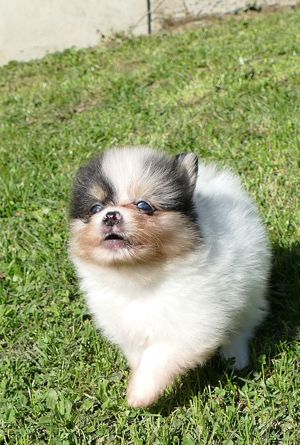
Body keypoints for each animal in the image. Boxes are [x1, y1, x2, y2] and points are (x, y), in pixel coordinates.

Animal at [69, 146, 270, 406]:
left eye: (144, 205)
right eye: (95, 208)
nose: (111, 215)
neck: (138, 275)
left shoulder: (193, 325)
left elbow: (159, 357)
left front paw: (138, 394)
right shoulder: (126, 328)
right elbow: (140, 355)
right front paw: (137, 376)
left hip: (250, 289)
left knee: (243, 324)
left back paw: (235, 357)